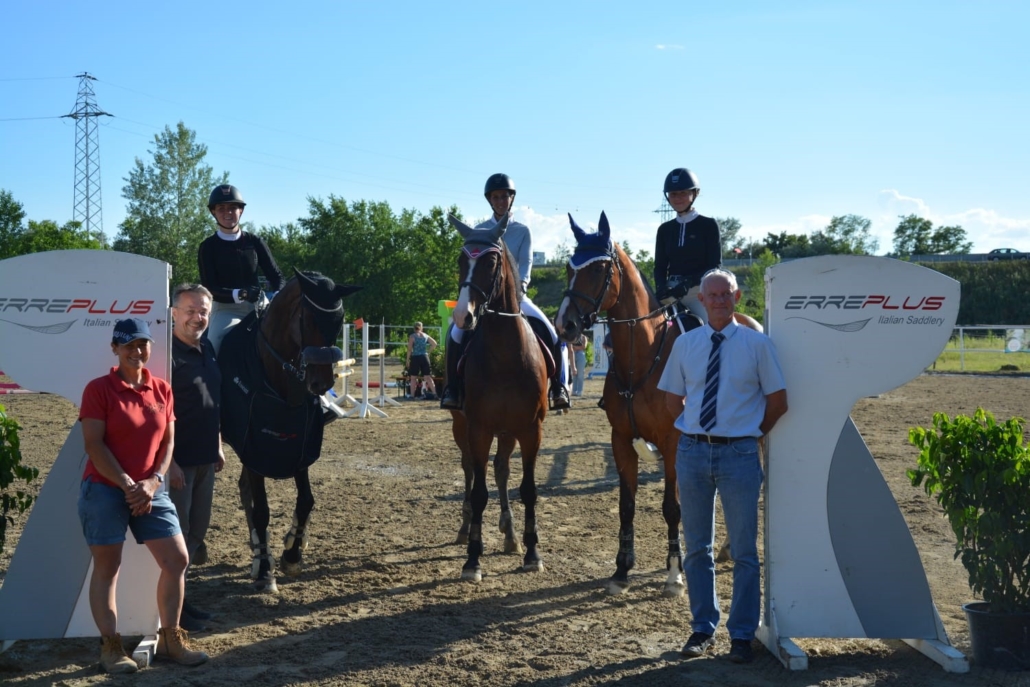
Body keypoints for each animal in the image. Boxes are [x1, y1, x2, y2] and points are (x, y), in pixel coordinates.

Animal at [219, 267, 360, 593]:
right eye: (309, 320)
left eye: (339, 322)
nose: (321, 384)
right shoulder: (253, 448)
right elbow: (262, 509)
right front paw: (266, 570)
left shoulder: (299, 448)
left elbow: (306, 500)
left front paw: (291, 553)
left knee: (244, 489)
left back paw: (258, 549)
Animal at [447, 213, 552, 580]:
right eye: (461, 260)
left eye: (490, 262)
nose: (462, 316)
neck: (506, 354)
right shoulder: (478, 428)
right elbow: (479, 492)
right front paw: (472, 559)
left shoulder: (531, 429)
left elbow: (528, 489)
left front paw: (533, 553)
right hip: (461, 425)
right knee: (469, 468)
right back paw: (465, 528)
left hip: (508, 431)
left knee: (502, 468)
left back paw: (510, 533)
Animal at [556, 213, 758, 597]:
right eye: (569, 267)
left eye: (600, 268)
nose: (565, 325)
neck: (644, 355)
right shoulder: (621, 441)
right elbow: (627, 505)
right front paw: (621, 570)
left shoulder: (673, 442)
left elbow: (672, 507)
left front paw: (675, 574)